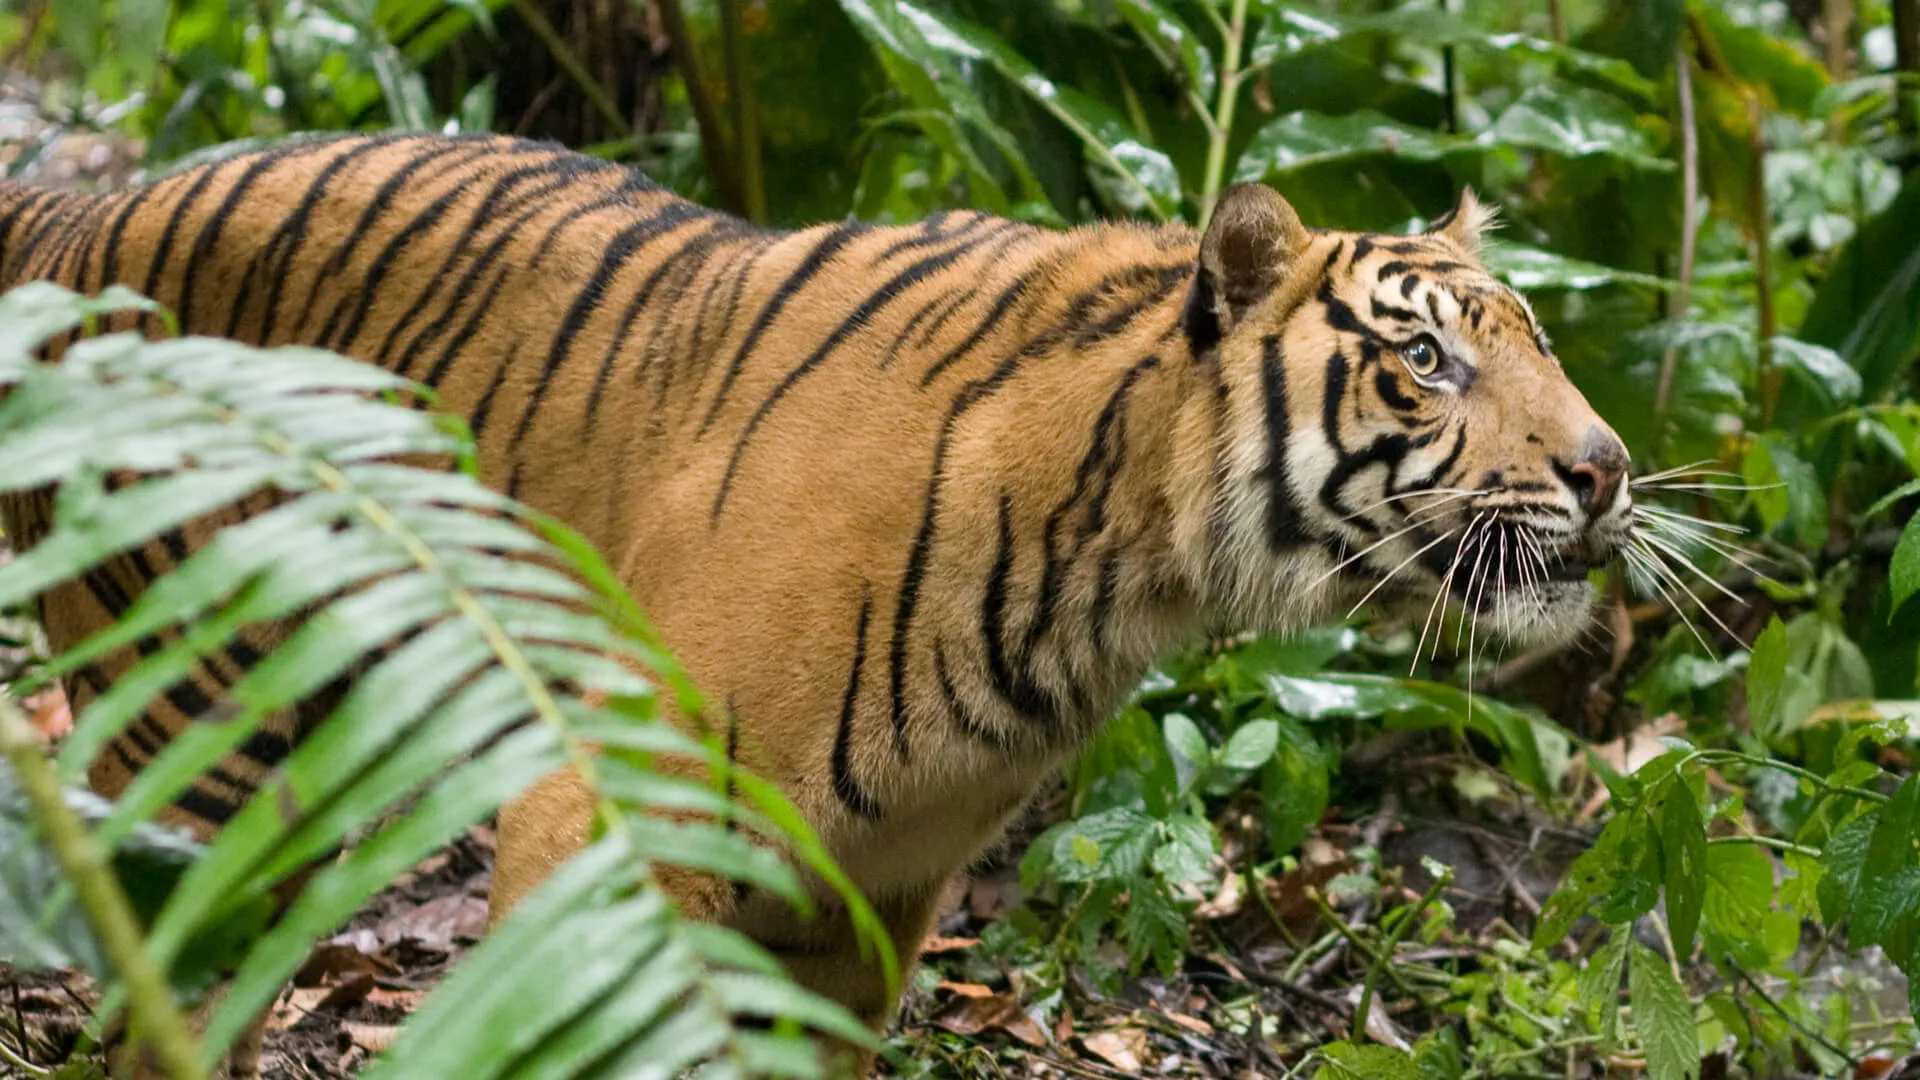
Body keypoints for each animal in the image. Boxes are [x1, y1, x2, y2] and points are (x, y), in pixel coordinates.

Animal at [0, 132, 1632, 1076]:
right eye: (1426, 363)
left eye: (1540, 347)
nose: (1610, 469)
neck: (1123, 565)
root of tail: (88, 207)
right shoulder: (619, 818)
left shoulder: (866, 890)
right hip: (204, 741)